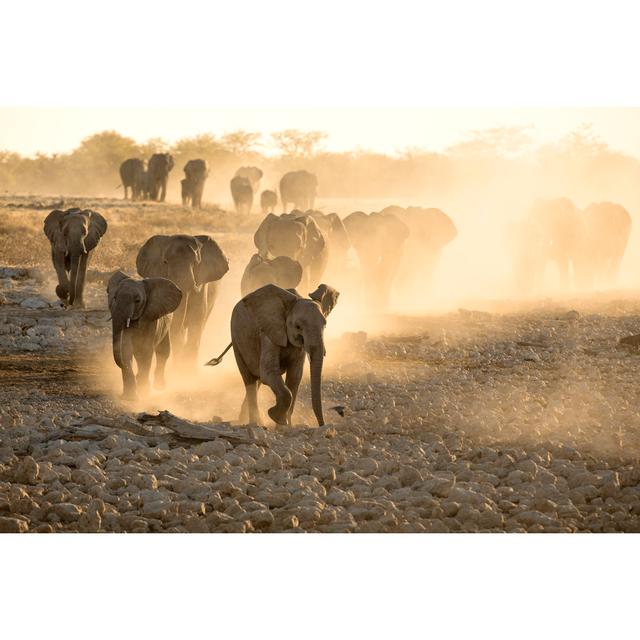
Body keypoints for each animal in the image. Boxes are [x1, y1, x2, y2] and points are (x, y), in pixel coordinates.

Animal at [107, 270, 182, 400]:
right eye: (115, 297)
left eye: (137, 301)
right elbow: (125, 349)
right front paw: (130, 397)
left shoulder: (151, 319)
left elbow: (146, 351)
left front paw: (143, 393)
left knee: (163, 351)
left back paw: (159, 387)